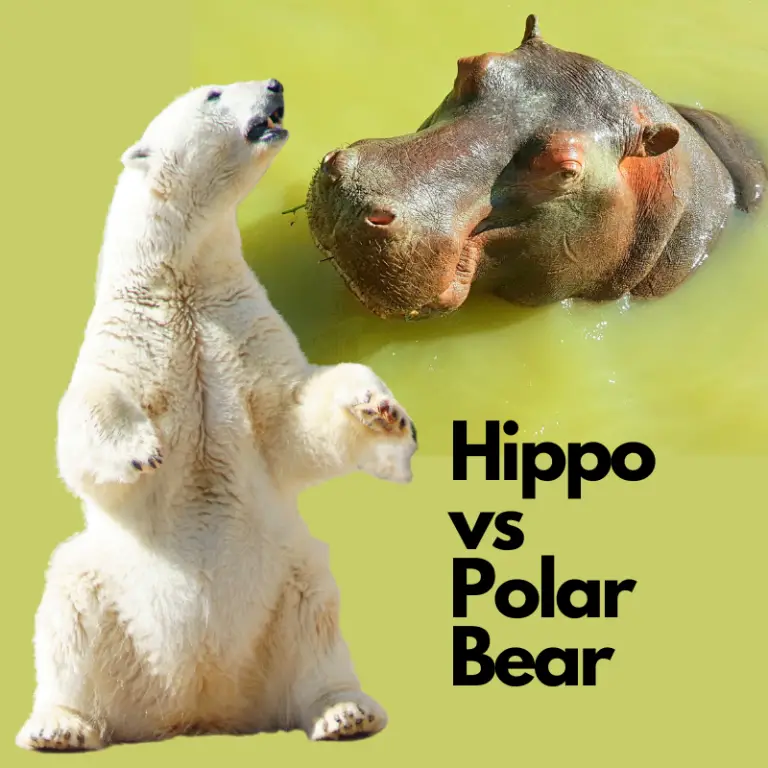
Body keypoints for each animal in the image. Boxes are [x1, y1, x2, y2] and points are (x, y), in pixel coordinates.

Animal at [16, 79, 418, 751]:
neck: (182, 279)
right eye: (212, 93)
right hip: (108, 593)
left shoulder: (241, 325)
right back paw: (60, 726)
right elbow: (90, 411)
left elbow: (292, 418)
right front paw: (139, 450)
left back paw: (345, 712)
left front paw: (382, 412)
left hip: (286, 584)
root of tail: (200, 706)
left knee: (317, 615)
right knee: (68, 601)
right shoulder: (133, 332)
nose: (275, 85)